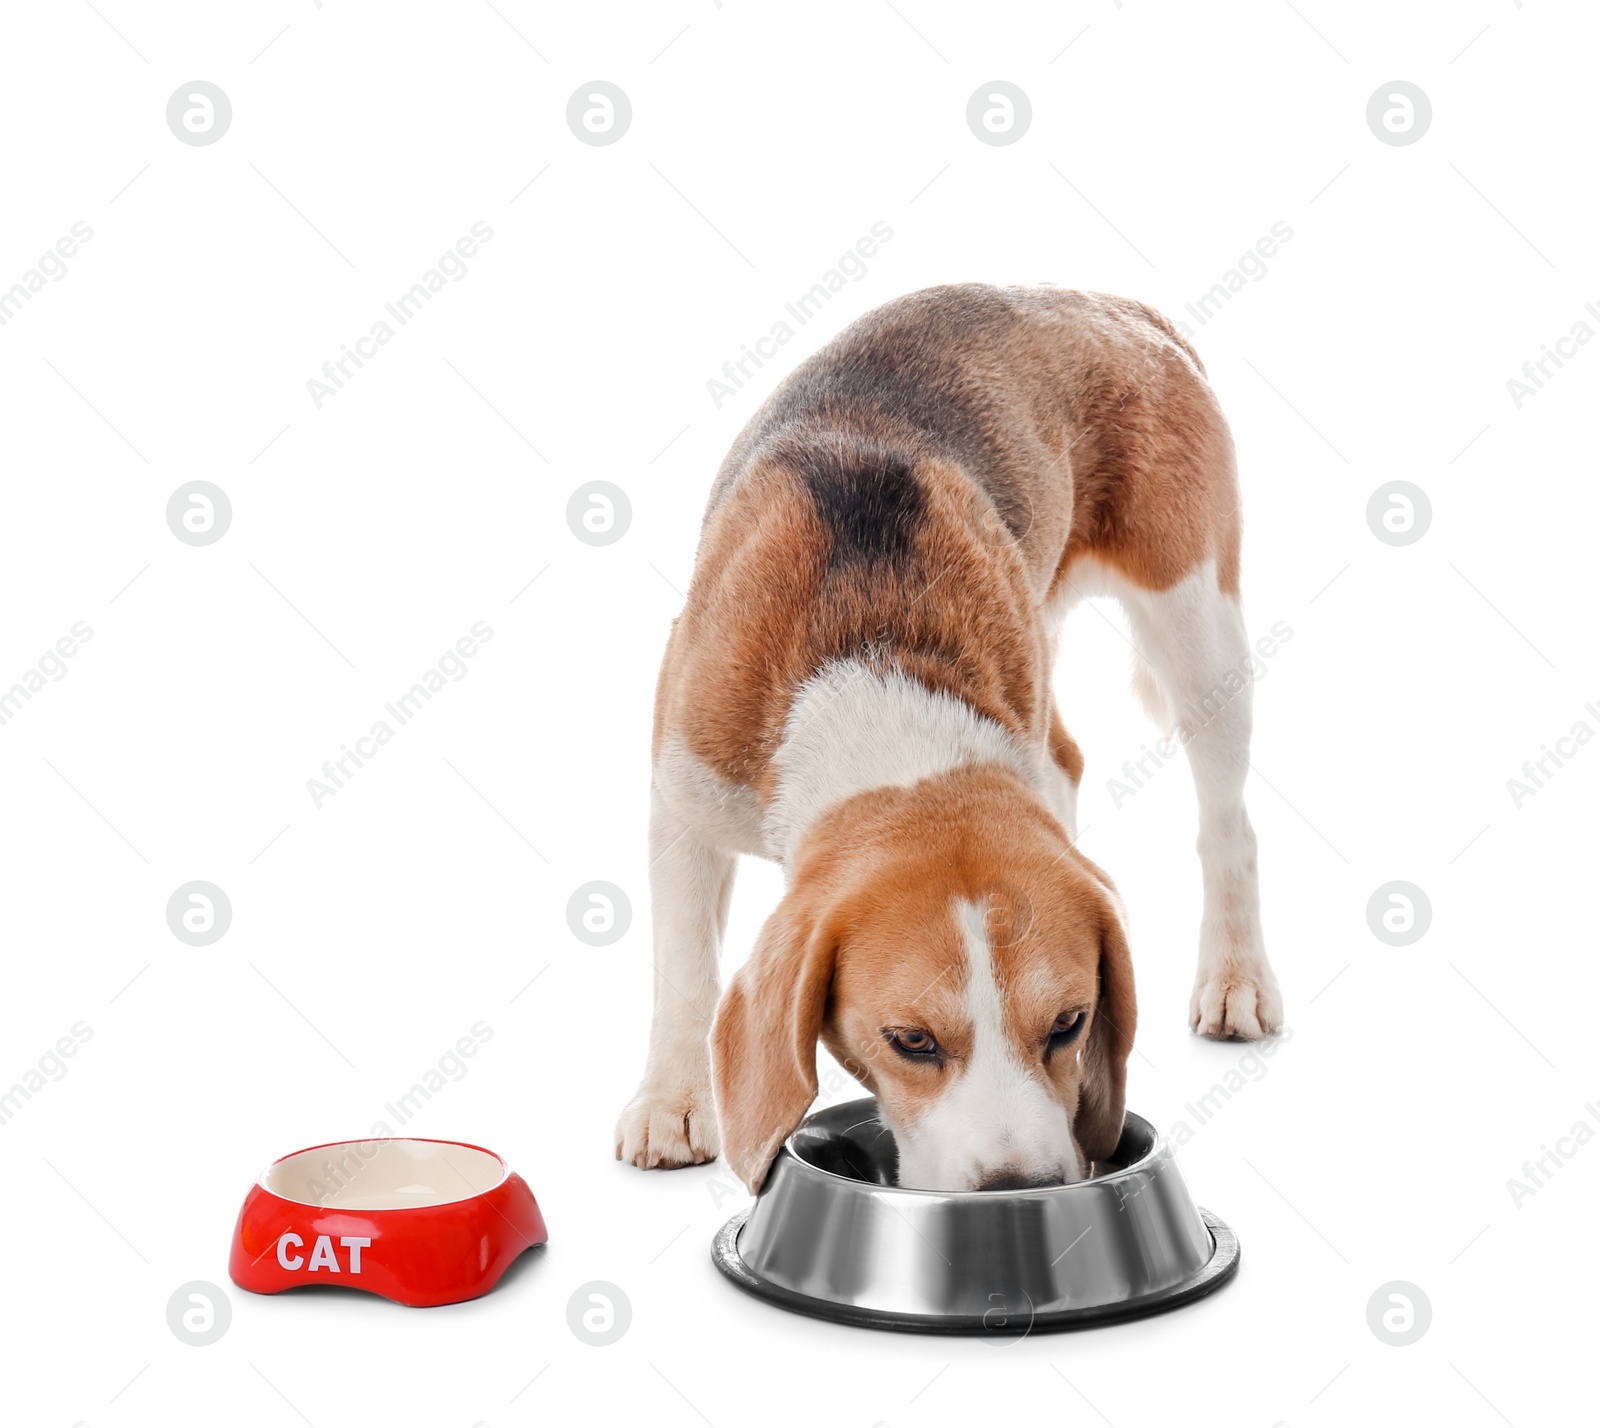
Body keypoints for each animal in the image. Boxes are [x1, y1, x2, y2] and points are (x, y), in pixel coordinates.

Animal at [617, 286, 1280, 1191]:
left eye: (1070, 1023)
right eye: (912, 1042)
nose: (1019, 1192)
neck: (872, 678)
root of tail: (1111, 305)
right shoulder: (682, 798)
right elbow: (684, 967)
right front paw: (673, 1105)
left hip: (1196, 620)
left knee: (1227, 821)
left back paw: (1236, 978)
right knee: (1069, 764)